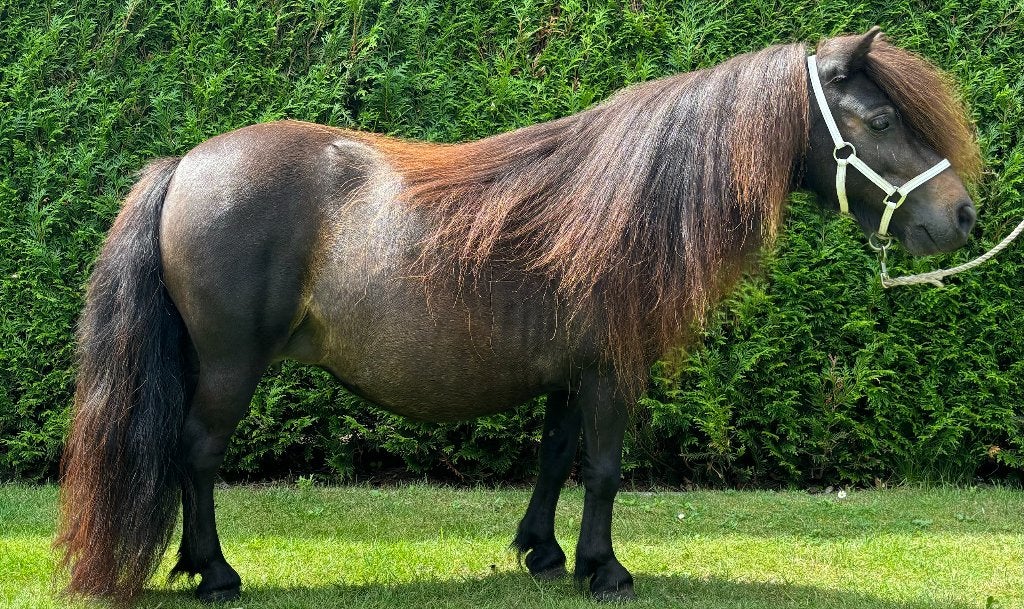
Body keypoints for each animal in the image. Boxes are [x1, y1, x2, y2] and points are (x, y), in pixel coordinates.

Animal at [55, 27, 981, 604]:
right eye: (882, 117)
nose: (964, 217)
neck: (632, 198)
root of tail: (185, 164)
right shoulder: (612, 368)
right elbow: (603, 468)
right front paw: (605, 569)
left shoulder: (570, 370)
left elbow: (554, 456)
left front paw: (544, 552)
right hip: (228, 366)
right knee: (197, 455)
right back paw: (215, 573)